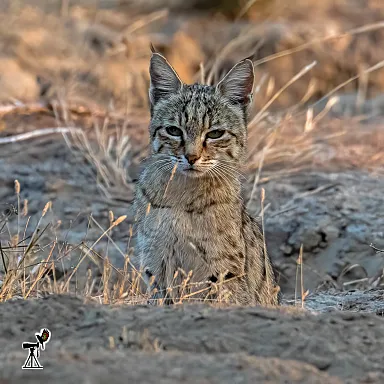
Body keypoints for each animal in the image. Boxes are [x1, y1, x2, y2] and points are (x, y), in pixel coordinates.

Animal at [134, 51, 280, 304]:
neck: (184, 192)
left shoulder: (223, 269)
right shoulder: (156, 263)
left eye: (215, 134)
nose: (191, 157)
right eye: (174, 131)